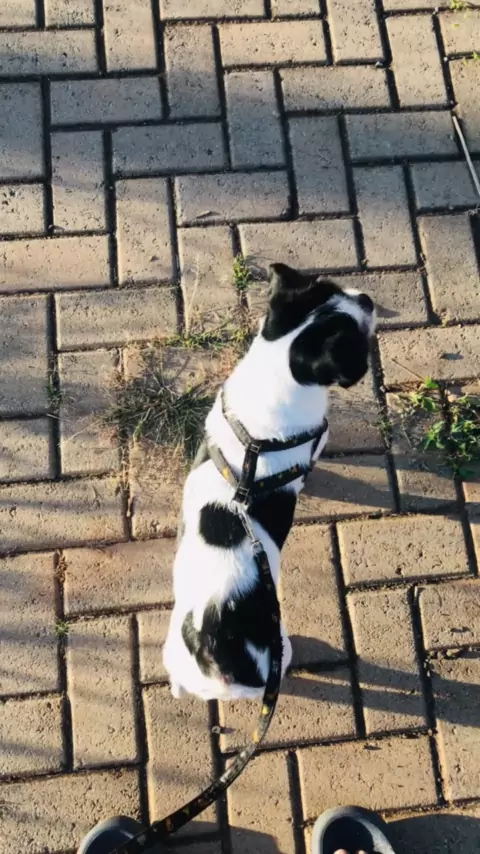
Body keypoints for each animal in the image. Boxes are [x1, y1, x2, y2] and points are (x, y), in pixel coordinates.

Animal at [163, 263, 376, 701]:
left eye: (330, 285)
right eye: (355, 339)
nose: (367, 299)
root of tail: (214, 653)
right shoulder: (316, 444)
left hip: (172, 653)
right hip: (275, 651)